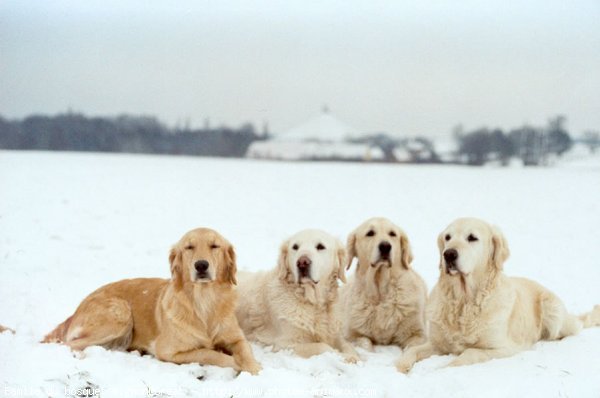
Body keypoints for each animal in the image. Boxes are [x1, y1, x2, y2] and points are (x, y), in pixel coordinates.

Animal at [39, 229, 260, 374]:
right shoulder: (168, 350)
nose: (201, 265)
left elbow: (245, 351)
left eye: (215, 246)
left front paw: (254, 368)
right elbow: (209, 354)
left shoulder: (236, 338)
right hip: (120, 313)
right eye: (189, 247)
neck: (204, 302)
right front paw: (237, 364)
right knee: (70, 344)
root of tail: (76, 309)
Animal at [234, 229, 358, 362]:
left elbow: (346, 344)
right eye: (295, 247)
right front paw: (346, 357)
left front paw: (354, 355)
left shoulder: (333, 333)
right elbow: (323, 347)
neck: (313, 302)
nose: (302, 262)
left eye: (320, 246)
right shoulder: (285, 344)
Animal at [340, 218, 428, 352]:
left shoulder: (417, 334)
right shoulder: (352, 334)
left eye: (392, 234)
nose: (385, 246)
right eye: (370, 233)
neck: (381, 293)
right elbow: (364, 342)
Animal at [398, 216, 600, 372]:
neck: (464, 301)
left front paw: (442, 369)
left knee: (575, 326)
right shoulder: (437, 343)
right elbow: (412, 351)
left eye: (472, 238)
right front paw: (401, 367)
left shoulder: (504, 348)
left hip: (553, 311)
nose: (448, 254)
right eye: (447, 237)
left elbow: (469, 353)